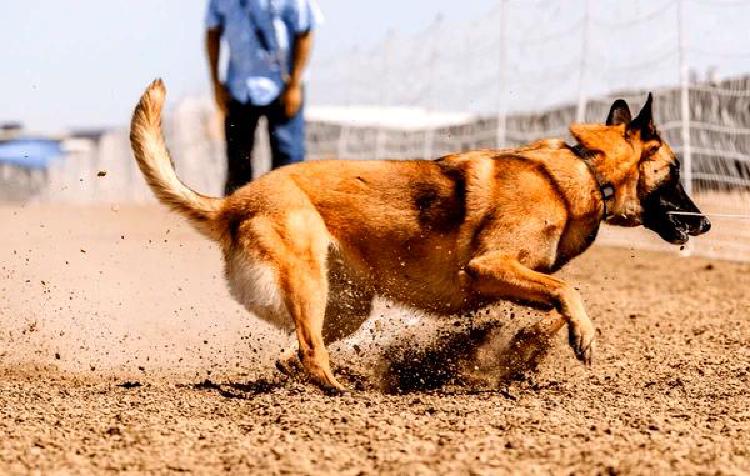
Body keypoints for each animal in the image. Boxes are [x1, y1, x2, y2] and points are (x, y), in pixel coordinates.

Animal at [129, 80, 712, 390]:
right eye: (675, 170)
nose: (706, 222)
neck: (588, 173)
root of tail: (235, 200)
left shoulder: (511, 276)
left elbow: (555, 302)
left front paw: (543, 343)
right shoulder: (488, 267)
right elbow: (568, 290)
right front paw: (579, 338)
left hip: (346, 305)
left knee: (297, 347)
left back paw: (305, 371)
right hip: (309, 279)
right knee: (312, 352)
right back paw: (341, 390)